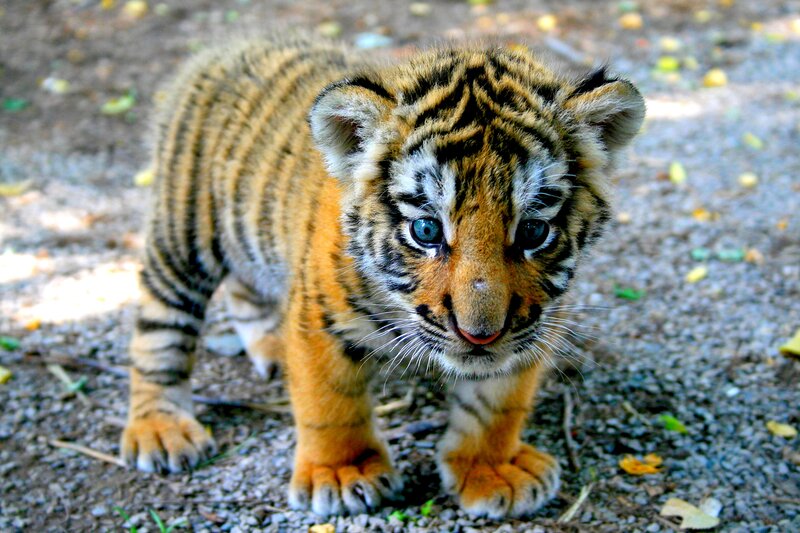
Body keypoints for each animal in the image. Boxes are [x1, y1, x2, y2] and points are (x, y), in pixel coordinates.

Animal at [120, 33, 645, 518]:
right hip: (183, 236)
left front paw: (491, 469)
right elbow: (330, 402)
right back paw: (161, 429)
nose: (480, 335)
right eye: (426, 230)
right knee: (159, 329)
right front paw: (342, 472)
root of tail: (231, 44)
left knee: (246, 292)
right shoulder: (320, 317)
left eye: (534, 230)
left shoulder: (533, 324)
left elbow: (497, 402)